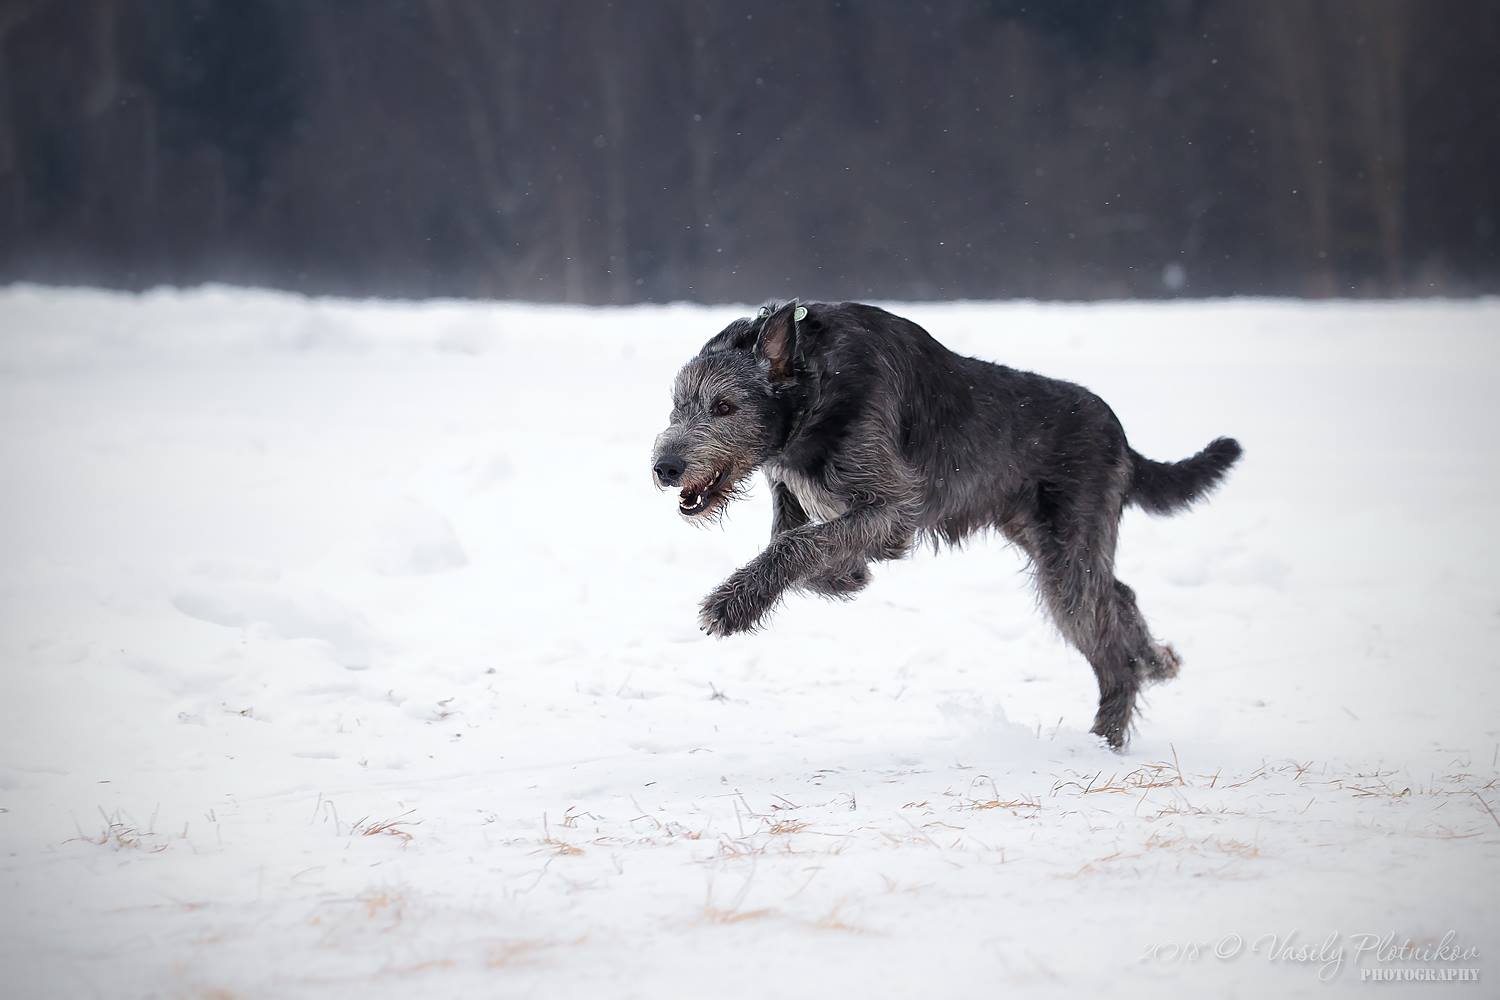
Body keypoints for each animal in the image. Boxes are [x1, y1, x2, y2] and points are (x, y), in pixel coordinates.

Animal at [651, 301, 1236, 746]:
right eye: (678, 405)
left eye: (724, 406)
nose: (664, 468)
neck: (813, 386)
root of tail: (1121, 436)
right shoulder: (796, 491)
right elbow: (801, 543)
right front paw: (846, 578)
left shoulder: (894, 507)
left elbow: (799, 543)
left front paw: (732, 605)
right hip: (1051, 541)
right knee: (1119, 596)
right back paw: (1157, 660)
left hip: (1067, 552)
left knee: (1108, 641)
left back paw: (1106, 736)